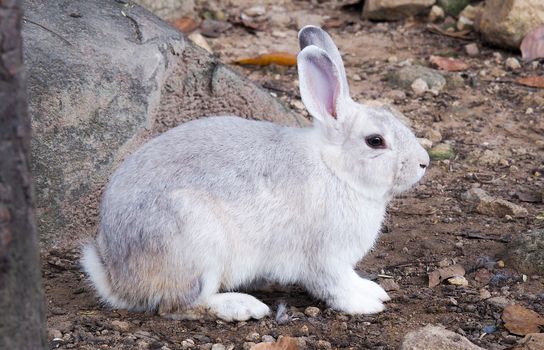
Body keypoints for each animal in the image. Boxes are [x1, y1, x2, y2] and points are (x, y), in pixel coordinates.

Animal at [81, 26, 430, 322]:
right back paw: (242, 306)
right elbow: (334, 285)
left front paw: (373, 290)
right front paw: (364, 304)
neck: (335, 167)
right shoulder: (325, 257)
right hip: (195, 245)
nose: (424, 162)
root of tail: (116, 278)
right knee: (179, 305)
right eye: (375, 141)